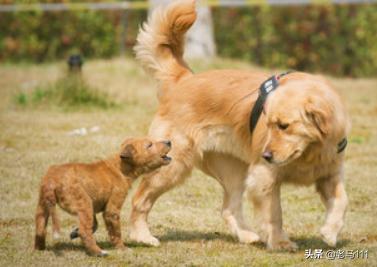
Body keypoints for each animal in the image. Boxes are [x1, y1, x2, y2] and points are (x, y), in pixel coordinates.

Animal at [34, 138, 171, 258]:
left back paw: (39, 249)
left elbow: (94, 224)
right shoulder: (111, 209)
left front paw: (74, 232)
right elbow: (115, 232)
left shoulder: (94, 206)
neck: (120, 168)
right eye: (149, 145)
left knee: (40, 228)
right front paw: (122, 248)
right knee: (85, 232)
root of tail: (52, 180)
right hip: (83, 203)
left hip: (43, 207)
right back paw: (99, 252)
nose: (169, 141)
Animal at [130, 0, 350, 251]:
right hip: (172, 164)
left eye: (284, 126)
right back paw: (142, 236)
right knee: (139, 199)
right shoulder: (264, 176)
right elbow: (274, 214)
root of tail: (184, 78)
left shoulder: (329, 173)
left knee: (228, 208)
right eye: (269, 124)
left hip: (234, 170)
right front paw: (280, 242)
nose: (266, 155)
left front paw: (330, 232)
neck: (310, 151)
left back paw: (246, 235)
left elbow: (342, 201)